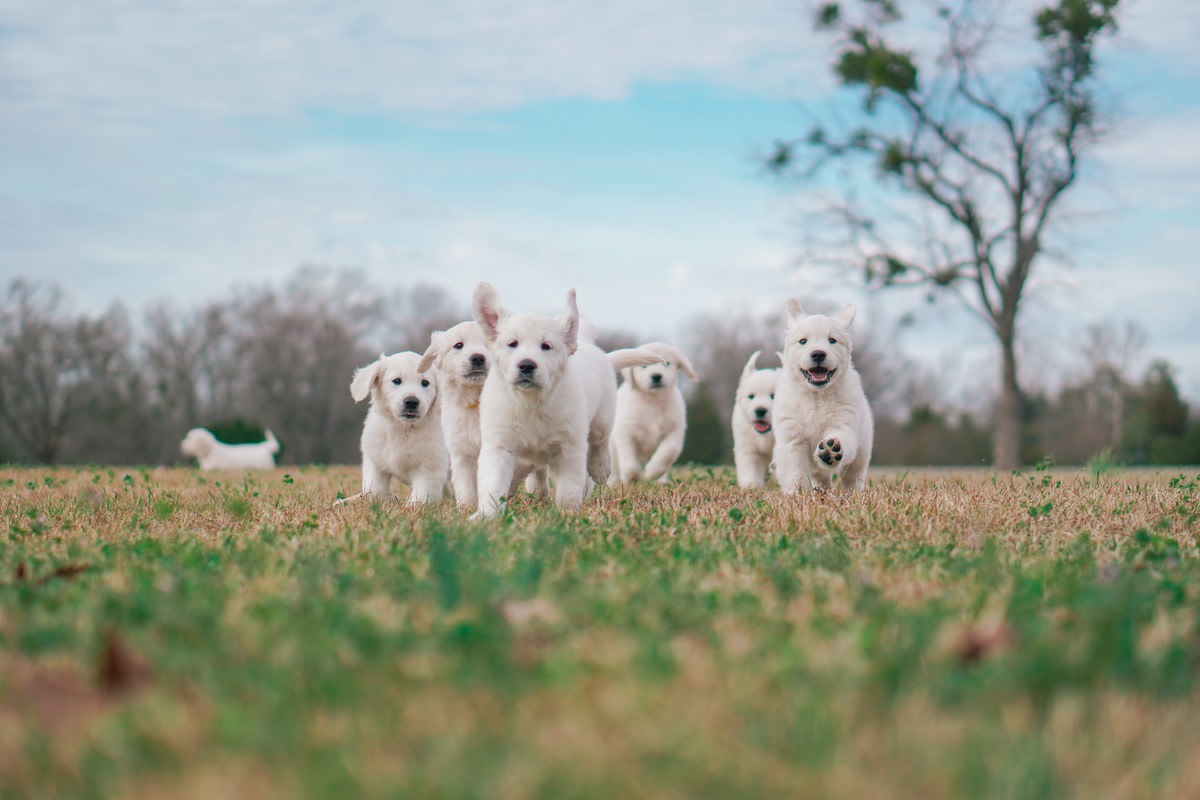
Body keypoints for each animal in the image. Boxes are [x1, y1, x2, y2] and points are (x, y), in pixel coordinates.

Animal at [338, 352, 451, 506]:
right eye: (397, 381)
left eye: (425, 382)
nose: (411, 402)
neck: (402, 428)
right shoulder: (374, 461)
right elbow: (374, 489)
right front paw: (389, 499)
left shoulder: (430, 469)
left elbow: (420, 497)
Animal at [417, 321, 549, 510]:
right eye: (458, 345)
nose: (478, 358)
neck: (478, 400)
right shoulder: (462, 453)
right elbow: (466, 487)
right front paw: (467, 509)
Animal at [604, 340, 700, 484]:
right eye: (644, 366)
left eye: (667, 363)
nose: (656, 376)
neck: (653, 402)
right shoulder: (626, 433)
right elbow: (629, 462)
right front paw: (631, 477)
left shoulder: (674, 430)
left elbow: (668, 452)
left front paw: (653, 472)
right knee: (614, 467)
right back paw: (614, 483)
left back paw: (661, 481)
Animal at [729, 350, 777, 489]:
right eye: (751, 396)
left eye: (773, 396)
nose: (760, 410)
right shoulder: (747, 447)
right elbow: (749, 468)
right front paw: (751, 485)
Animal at [772, 298, 878, 491]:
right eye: (803, 341)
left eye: (832, 340)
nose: (818, 354)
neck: (816, 395)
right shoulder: (792, 439)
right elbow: (794, 472)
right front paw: (796, 494)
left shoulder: (844, 424)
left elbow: (840, 438)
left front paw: (832, 448)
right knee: (821, 476)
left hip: (862, 451)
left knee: (852, 476)